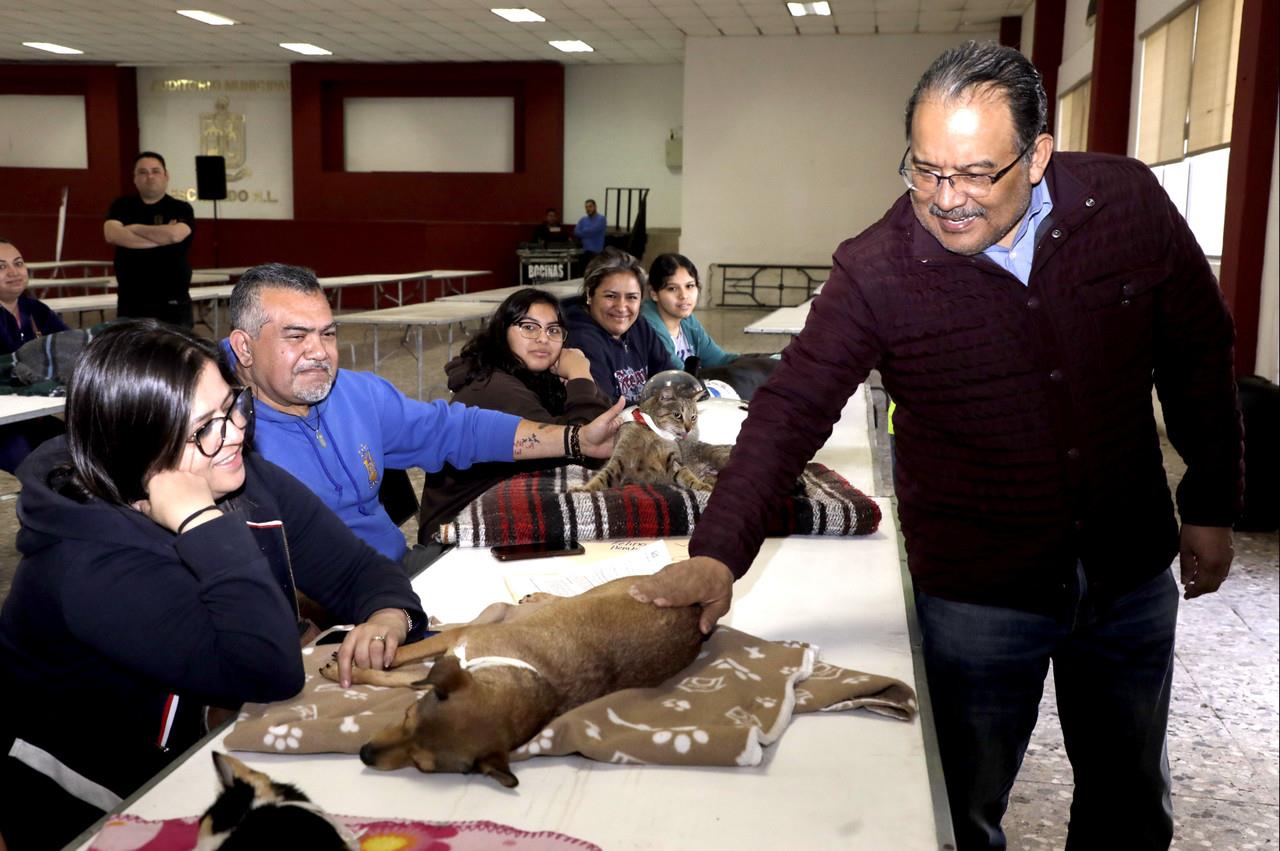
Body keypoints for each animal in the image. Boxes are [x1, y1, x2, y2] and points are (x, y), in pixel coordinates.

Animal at [316, 573, 706, 788]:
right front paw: (346, 667)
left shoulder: (453, 649)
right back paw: (542, 596)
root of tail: (696, 610)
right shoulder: (453, 646)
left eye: (422, 766)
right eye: (407, 716)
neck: (531, 675)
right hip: (606, 590)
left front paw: (346, 669)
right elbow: (398, 661)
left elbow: (396, 670)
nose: (364, 754)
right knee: (570, 595)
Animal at [570, 383, 732, 493]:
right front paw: (583, 489)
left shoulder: (674, 462)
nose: (688, 429)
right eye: (677, 415)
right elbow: (602, 478)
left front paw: (701, 485)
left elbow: (687, 476)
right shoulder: (618, 461)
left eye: (693, 417)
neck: (650, 431)